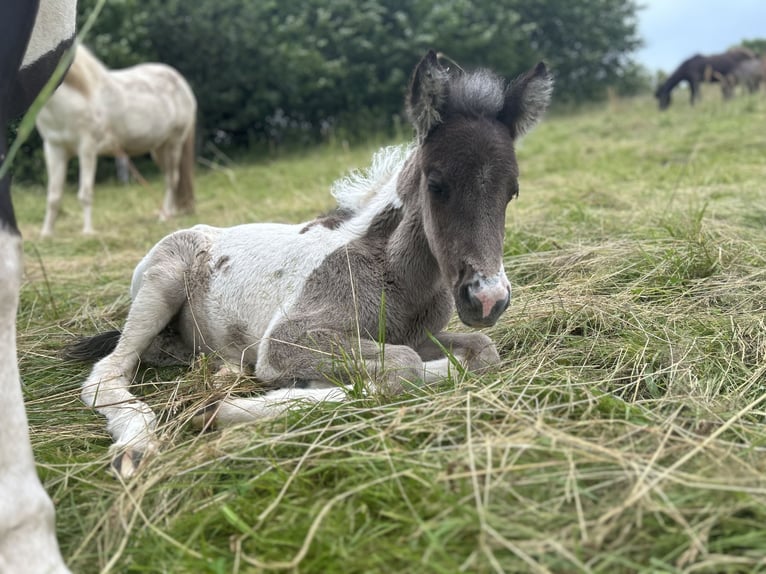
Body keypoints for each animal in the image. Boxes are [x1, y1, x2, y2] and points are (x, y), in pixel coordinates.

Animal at [37, 42, 196, 236]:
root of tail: (181, 83)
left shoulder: (87, 147)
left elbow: (85, 193)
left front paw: (88, 232)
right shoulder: (54, 149)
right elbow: (54, 196)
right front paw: (46, 234)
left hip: (174, 144)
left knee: (172, 179)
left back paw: (164, 217)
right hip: (159, 149)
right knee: (171, 178)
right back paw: (169, 213)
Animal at [69, 50, 556, 482]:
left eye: (512, 191)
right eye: (436, 184)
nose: (488, 298)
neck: (393, 273)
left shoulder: (418, 334)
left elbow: (480, 352)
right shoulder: (286, 339)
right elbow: (403, 366)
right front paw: (234, 405)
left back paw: (225, 372)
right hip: (161, 282)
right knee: (107, 372)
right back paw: (136, 447)